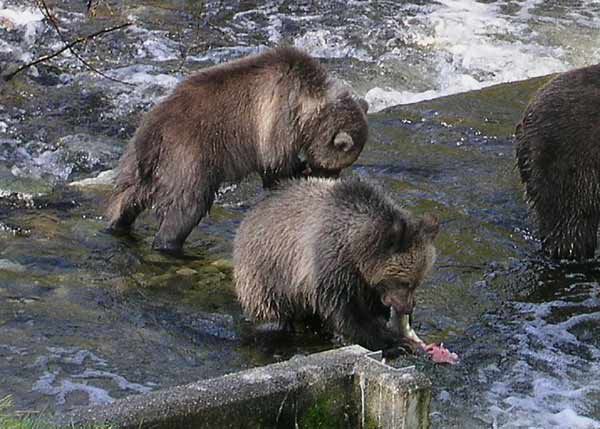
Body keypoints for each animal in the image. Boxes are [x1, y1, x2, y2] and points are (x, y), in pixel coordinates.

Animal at [105, 46, 368, 251]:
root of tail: (154, 131)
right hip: (188, 157)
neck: (307, 105)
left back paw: (117, 225)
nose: (328, 178)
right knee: (187, 207)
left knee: (127, 198)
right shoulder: (277, 117)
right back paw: (168, 244)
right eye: (331, 167)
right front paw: (296, 170)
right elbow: (275, 165)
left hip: (137, 161)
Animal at [232, 177, 438, 352]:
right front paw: (394, 341)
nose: (408, 307)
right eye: (405, 282)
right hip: (268, 275)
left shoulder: (363, 280)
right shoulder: (330, 266)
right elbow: (345, 313)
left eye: (417, 282)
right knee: (271, 312)